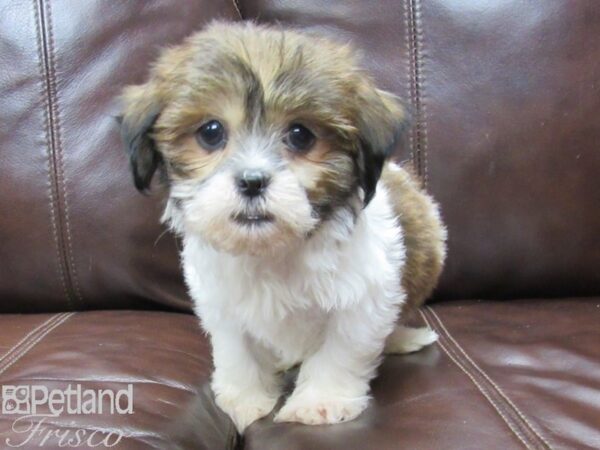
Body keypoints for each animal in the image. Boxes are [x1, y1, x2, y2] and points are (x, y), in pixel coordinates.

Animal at [119, 20, 446, 432]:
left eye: (300, 135)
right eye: (211, 132)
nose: (252, 180)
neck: (273, 249)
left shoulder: (363, 298)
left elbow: (341, 349)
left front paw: (320, 402)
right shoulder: (221, 302)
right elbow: (236, 350)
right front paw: (245, 399)